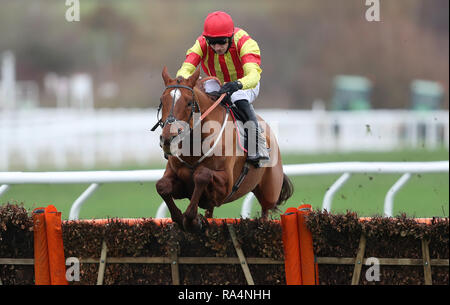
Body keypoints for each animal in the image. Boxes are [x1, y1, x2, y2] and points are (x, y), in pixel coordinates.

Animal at [156, 66, 296, 230]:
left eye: (189, 103)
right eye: (162, 101)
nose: (167, 139)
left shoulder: (225, 186)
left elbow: (202, 174)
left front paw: (192, 220)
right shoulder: (178, 180)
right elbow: (161, 185)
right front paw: (180, 217)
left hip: (270, 192)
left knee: (265, 212)